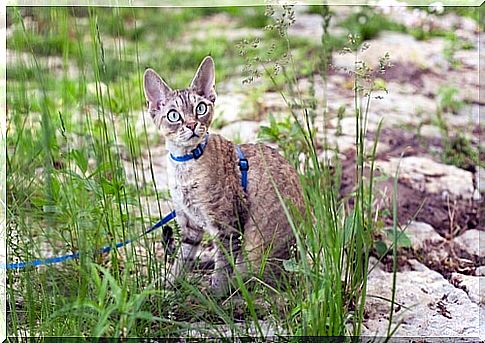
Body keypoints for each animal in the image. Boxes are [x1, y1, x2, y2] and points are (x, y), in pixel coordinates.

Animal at [142, 56, 304, 296]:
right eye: (173, 115)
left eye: (200, 108)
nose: (192, 124)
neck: (184, 166)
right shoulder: (190, 225)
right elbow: (182, 259)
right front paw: (167, 285)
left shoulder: (228, 225)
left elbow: (223, 264)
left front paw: (214, 293)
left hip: (258, 251)